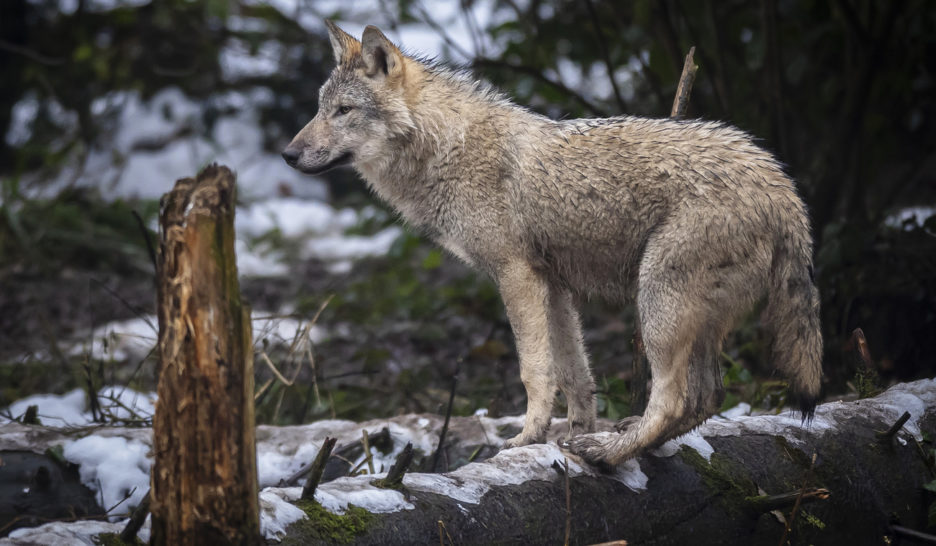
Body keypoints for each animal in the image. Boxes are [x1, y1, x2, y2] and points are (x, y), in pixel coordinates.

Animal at [282, 20, 824, 464]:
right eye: (319, 110)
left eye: (344, 111)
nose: (288, 154)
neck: (447, 149)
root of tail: (781, 185)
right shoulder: (555, 286)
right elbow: (574, 374)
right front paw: (571, 433)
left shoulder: (516, 277)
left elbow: (533, 371)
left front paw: (527, 437)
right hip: (693, 318)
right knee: (708, 397)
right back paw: (622, 443)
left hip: (656, 304)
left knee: (674, 399)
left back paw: (610, 454)